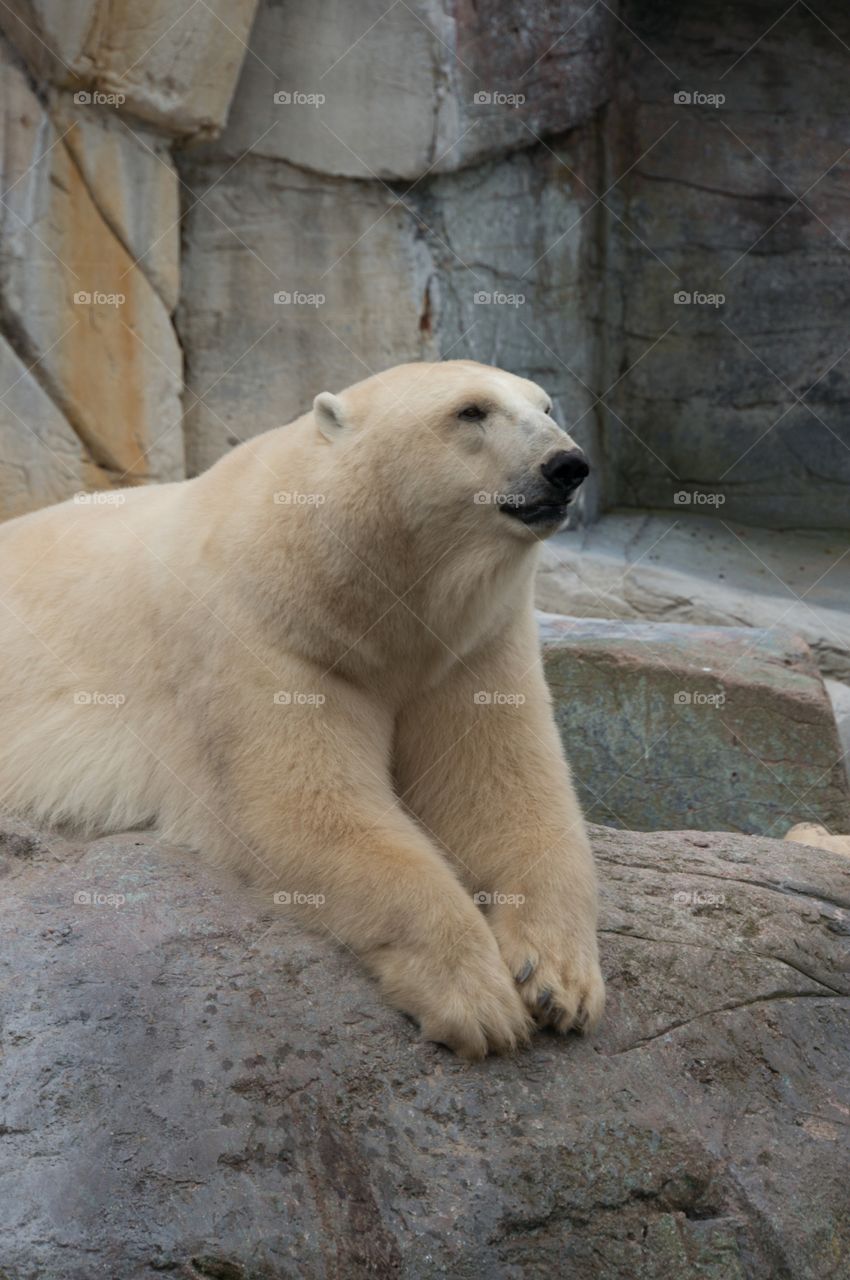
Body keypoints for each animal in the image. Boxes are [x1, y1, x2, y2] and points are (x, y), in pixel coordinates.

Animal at [0, 359, 604, 1059]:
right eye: (471, 411)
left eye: (546, 405)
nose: (567, 465)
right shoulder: (264, 631)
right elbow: (307, 807)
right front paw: (476, 999)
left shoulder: (475, 647)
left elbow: (503, 791)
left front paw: (558, 979)